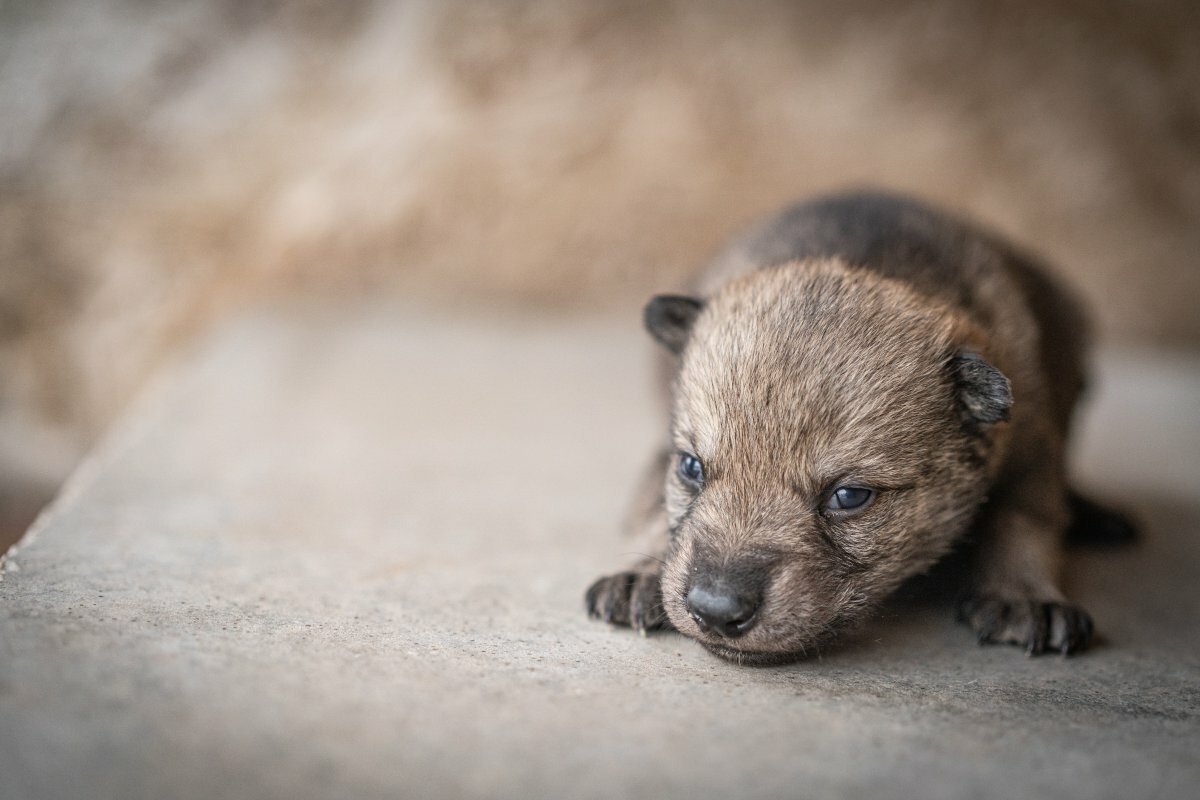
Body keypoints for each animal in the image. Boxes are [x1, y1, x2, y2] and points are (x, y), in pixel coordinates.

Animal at [585, 190, 1128, 666]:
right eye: (691, 468)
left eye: (850, 497)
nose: (716, 610)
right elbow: (653, 506)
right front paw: (640, 572)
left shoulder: (1031, 434)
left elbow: (1027, 514)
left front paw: (1026, 594)